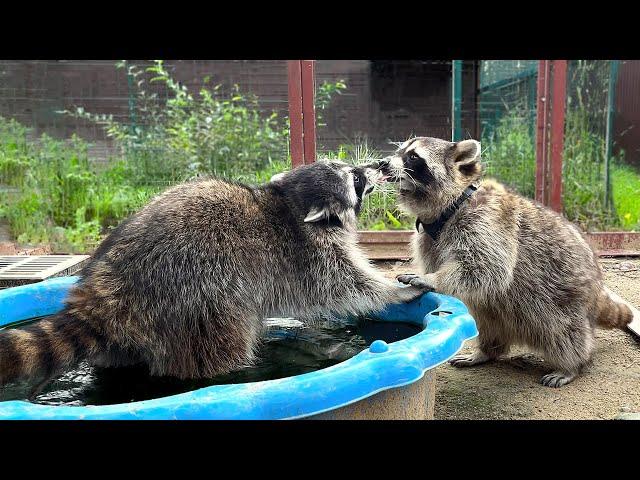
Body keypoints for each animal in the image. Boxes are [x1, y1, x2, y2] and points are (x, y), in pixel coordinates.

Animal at [378, 135, 636, 386]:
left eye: (413, 157)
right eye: (400, 150)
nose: (382, 163)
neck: (452, 204)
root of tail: (596, 286)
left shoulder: (486, 222)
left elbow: (487, 267)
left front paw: (432, 278)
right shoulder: (428, 241)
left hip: (566, 298)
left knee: (564, 332)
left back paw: (572, 365)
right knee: (486, 320)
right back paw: (486, 351)